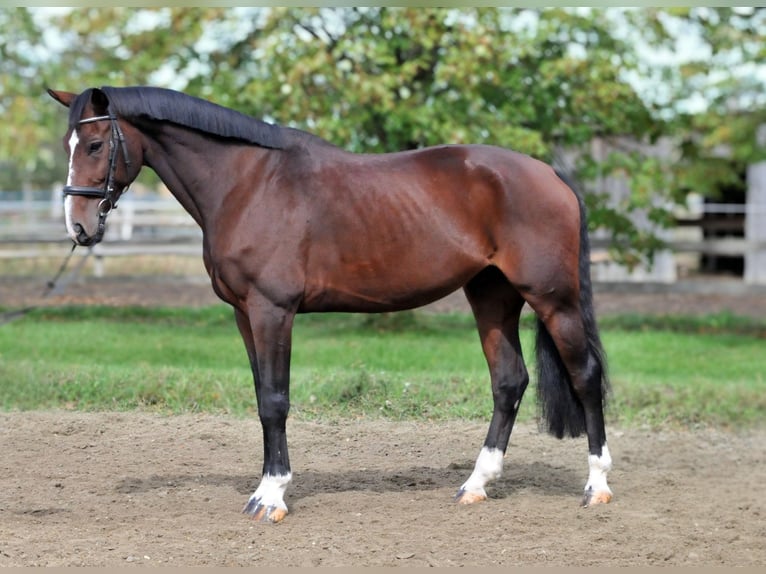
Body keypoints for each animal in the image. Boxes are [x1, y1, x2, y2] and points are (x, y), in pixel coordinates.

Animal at [48, 86, 616, 528]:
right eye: (68, 144)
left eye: (95, 144)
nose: (78, 226)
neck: (247, 184)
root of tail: (552, 176)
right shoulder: (244, 314)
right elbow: (261, 397)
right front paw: (264, 488)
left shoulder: (272, 310)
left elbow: (275, 400)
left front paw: (272, 496)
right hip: (492, 295)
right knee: (508, 381)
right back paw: (476, 484)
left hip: (553, 299)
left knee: (584, 376)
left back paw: (597, 486)